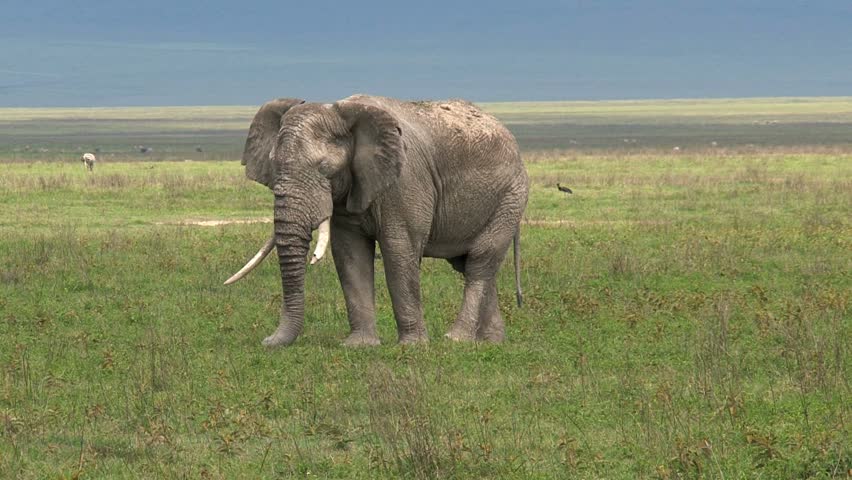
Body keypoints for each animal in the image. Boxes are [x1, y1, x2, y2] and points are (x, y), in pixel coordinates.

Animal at [225, 95, 529, 347]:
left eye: (325, 169)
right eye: (274, 165)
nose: (267, 341)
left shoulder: (404, 182)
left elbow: (399, 251)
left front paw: (412, 347)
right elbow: (350, 255)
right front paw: (359, 346)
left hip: (511, 196)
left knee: (480, 260)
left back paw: (456, 339)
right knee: (471, 266)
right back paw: (490, 342)